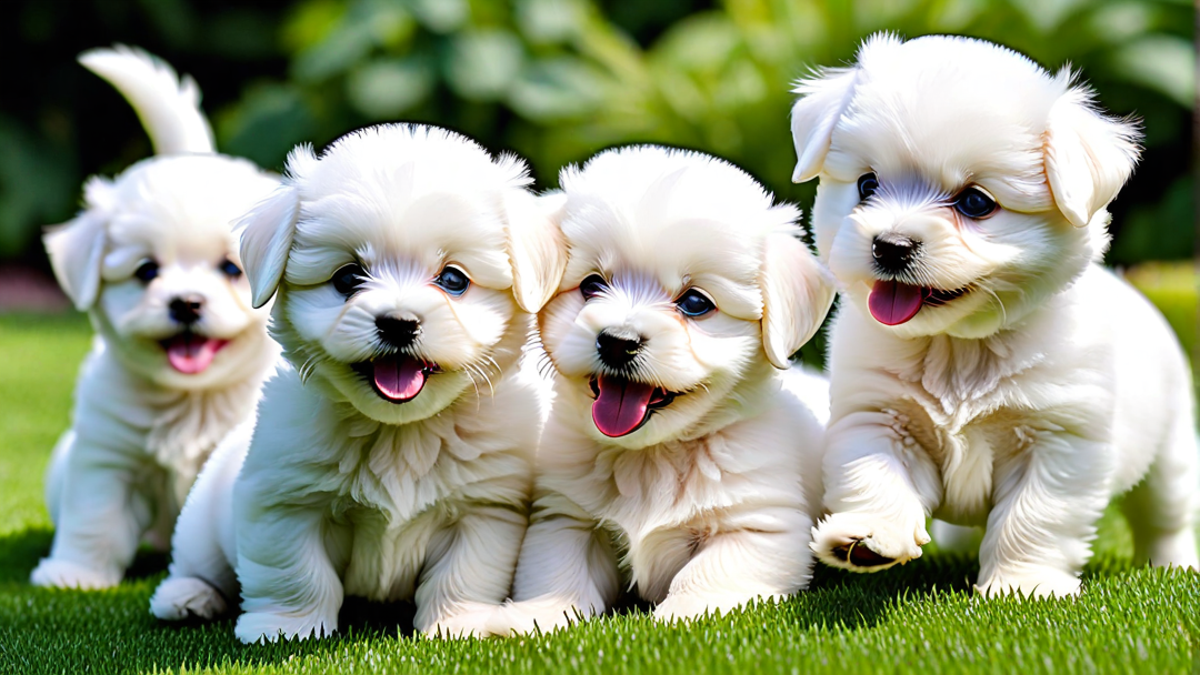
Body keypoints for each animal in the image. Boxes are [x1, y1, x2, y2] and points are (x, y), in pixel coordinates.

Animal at [31, 45, 279, 588]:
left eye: (232, 268)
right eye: (147, 271)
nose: (185, 302)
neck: (191, 400)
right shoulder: (108, 454)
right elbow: (94, 518)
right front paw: (75, 574)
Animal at [148, 121, 561, 638]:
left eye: (453, 280)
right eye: (347, 278)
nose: (399, 322)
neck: (400, 434)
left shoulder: (484, 510)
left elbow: (463, 575)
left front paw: (459, 626)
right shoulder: (285, 505)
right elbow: (298, 574)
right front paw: (286, 629)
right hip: (203, 521)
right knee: (197, 562)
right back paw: (188, 596)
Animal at [489, 144, 835, 634]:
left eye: (695, 303)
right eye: (592, 284)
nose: (618, 341)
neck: (651, 457)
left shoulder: (760, 524)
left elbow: (709, 571)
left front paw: (685, 613)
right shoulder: (565, 516)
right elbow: (558, 571)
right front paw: (533, 617)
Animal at [792, 34, 1195, 595]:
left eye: (976, 203)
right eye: (867, 185)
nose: (890, 246)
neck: (957, 346)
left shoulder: (1058, 441)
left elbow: (1034, 518)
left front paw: (1023, 585)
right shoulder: (876, 414)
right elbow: (876, 478)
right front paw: (869, 539)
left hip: (1171, 449)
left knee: (1165, 517)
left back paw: (1174, 565)